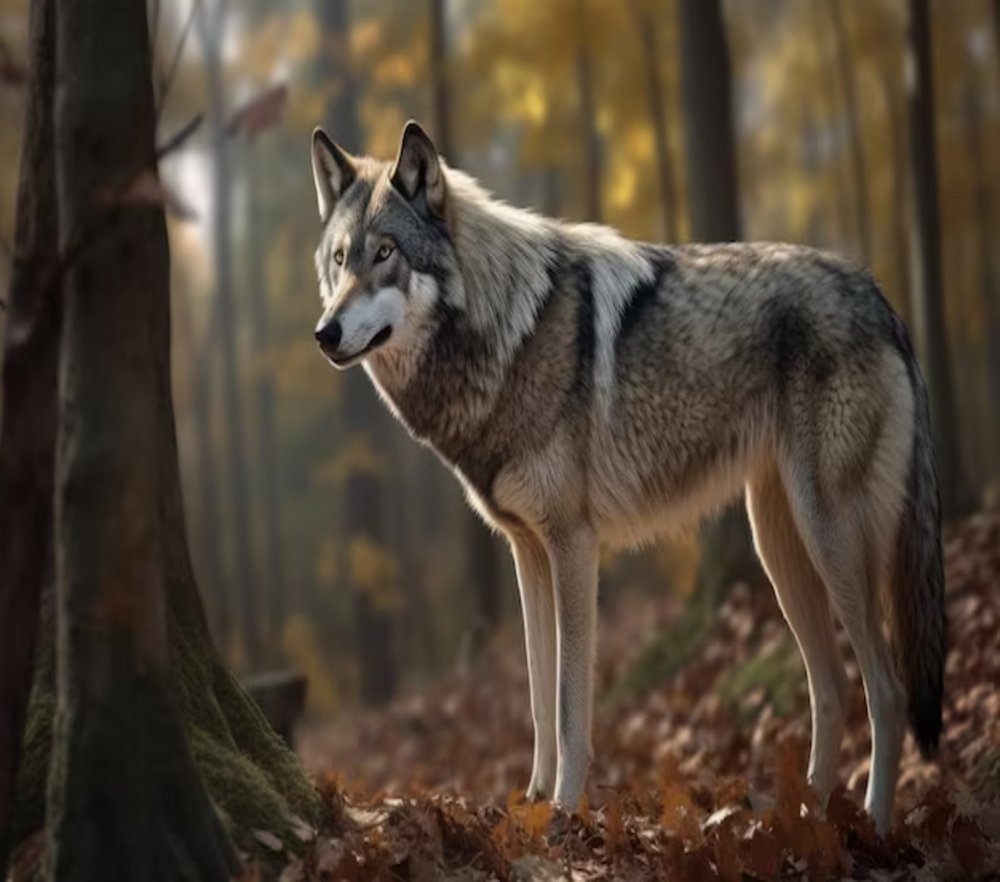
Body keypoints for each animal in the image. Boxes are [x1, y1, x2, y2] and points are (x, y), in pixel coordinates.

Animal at [309, 120, 945, 835]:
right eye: (340, 259)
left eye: (386, 252)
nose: (324, 332)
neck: (506, 335)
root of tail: (881, 298)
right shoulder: (527, 553)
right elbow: (537, 699)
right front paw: (529, 804)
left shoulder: (574, 545)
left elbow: (567, 707)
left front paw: (562, 811)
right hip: (778, 549)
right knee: (831, 688)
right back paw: (802, 821)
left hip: (828, 539)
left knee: (886, 691)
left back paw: (876, 828)